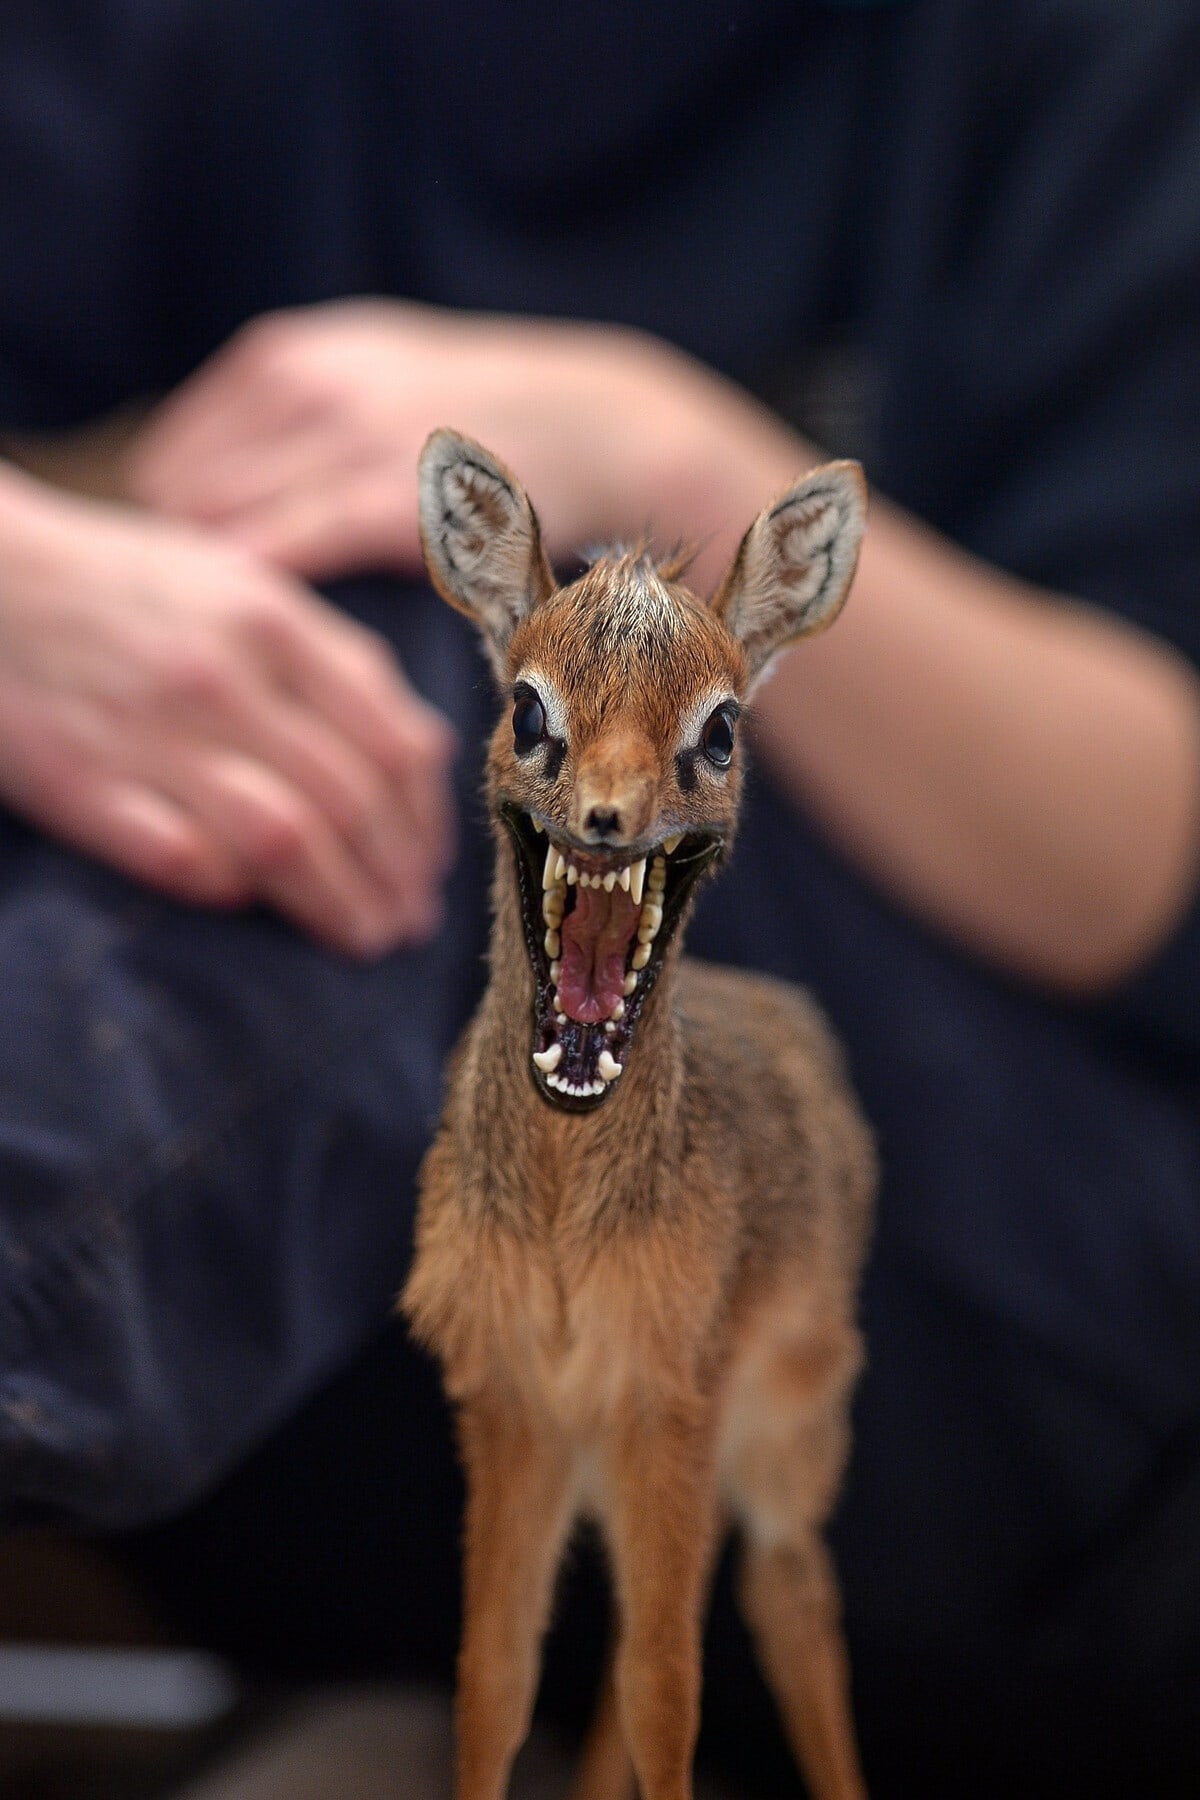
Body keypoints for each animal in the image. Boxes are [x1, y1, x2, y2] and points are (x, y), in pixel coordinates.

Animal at [401, 432, 874, 1800]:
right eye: (526, 708)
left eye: (719, 729)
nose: (609, 818)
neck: (568, 1221)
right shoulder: (518, 1407)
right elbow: (494, 1680)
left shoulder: (672, 1397)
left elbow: (671, 1693)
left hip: (787, 1426)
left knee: (788, 1598)